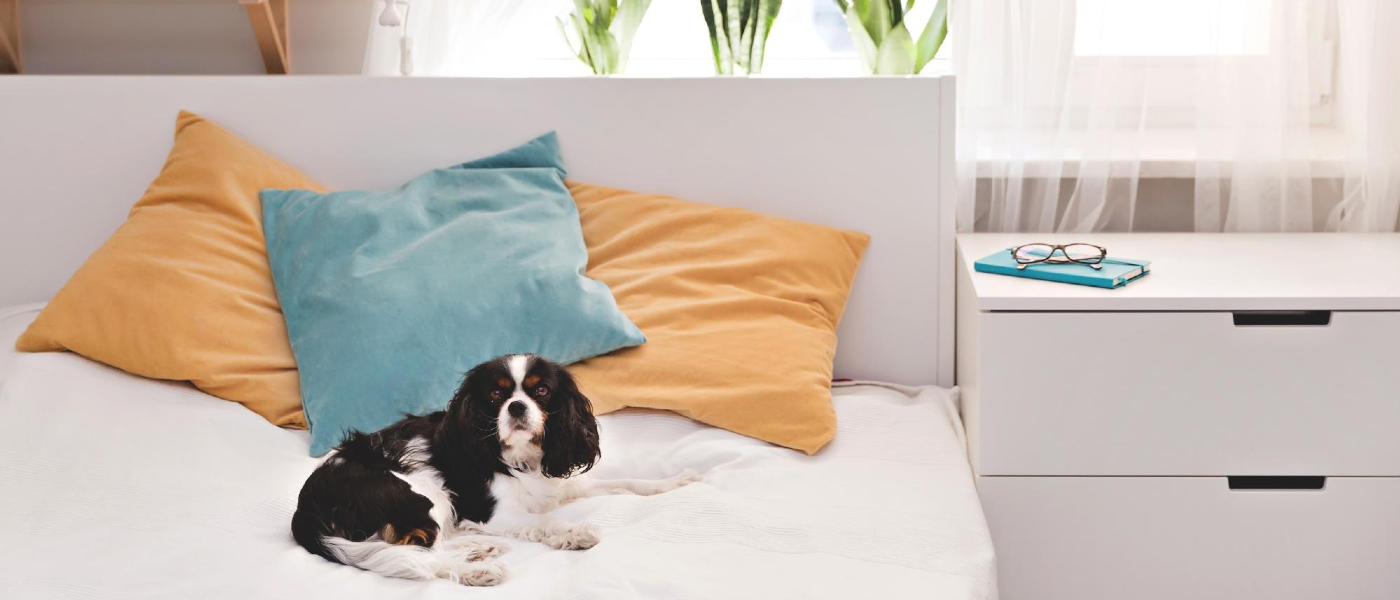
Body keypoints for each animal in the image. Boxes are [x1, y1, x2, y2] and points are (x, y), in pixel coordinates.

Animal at [291, 352, 700, 581]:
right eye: (495, 394)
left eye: (541, 391)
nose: (516, 407)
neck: (521, 457)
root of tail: (305, 505)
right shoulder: (494, 511)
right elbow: (544, 521)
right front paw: (574, 532)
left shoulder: (558, 485)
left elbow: (627, 482)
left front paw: (674, 482)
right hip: (420, 491)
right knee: (417, 553)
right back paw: (475, 569)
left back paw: (476, 549)